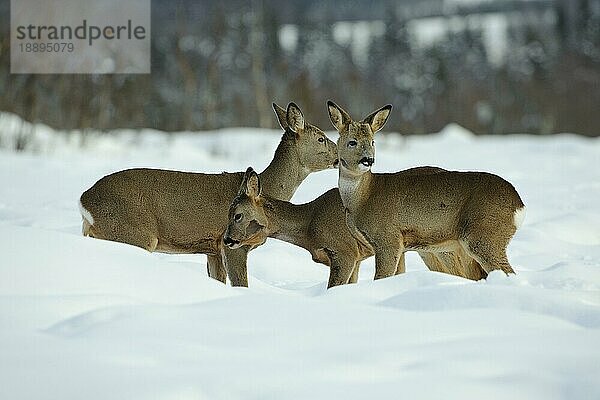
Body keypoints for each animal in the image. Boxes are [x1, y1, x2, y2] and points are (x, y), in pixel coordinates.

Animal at [79, 101, 338, 286]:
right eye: (321, 138)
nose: (339, 156)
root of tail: (84, 201)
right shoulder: (231, 244)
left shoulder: (212, 250)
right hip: (134, 232)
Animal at [328, 100, 524, 282]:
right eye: (352, 142)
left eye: (372, 141)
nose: (368, 160)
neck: (362, 199)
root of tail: (519, 205)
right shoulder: (399, 245)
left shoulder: (388, 238)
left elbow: (381, 277)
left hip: (483, 234)